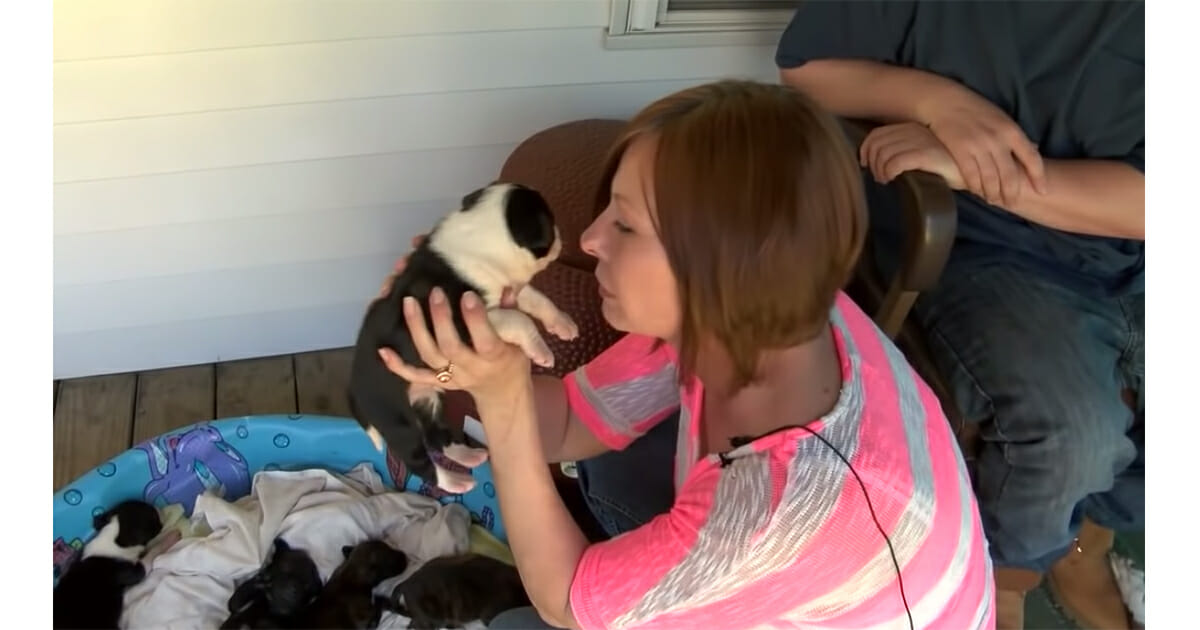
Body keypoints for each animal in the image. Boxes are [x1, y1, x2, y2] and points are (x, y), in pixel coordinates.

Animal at [53, 500, 164, 629]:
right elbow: (149, 557)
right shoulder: (133, 571)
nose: (157, 507)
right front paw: (163, 542)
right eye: (154, 516)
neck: (113, 539)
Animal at [348, 181, 578, 493]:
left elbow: (538, 300)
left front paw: (563, 324)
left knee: (437, 437)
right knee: (418, 460)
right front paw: (541, 351)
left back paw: (468, 457)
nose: (560, 237)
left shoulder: (508, 291)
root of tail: (352, 391)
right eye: (550, 221)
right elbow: (520, 320)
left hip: (426, 400)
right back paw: (455, 482)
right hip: (397, 421)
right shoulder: (468, 320)